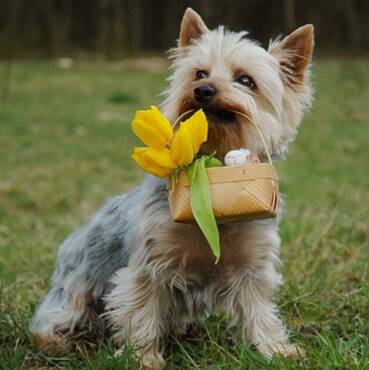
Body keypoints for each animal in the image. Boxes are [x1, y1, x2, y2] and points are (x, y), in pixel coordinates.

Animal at [30, 7, 314, 368]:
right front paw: (142, 358)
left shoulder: (252, 264)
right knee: (53, 318)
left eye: (245, 80)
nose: (203, 90)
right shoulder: (149, 266)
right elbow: (141, 311)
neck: (211, 169)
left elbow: (258, 310)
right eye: (199, 73)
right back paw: (56, 342)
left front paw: (275, 350)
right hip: (74, 290)